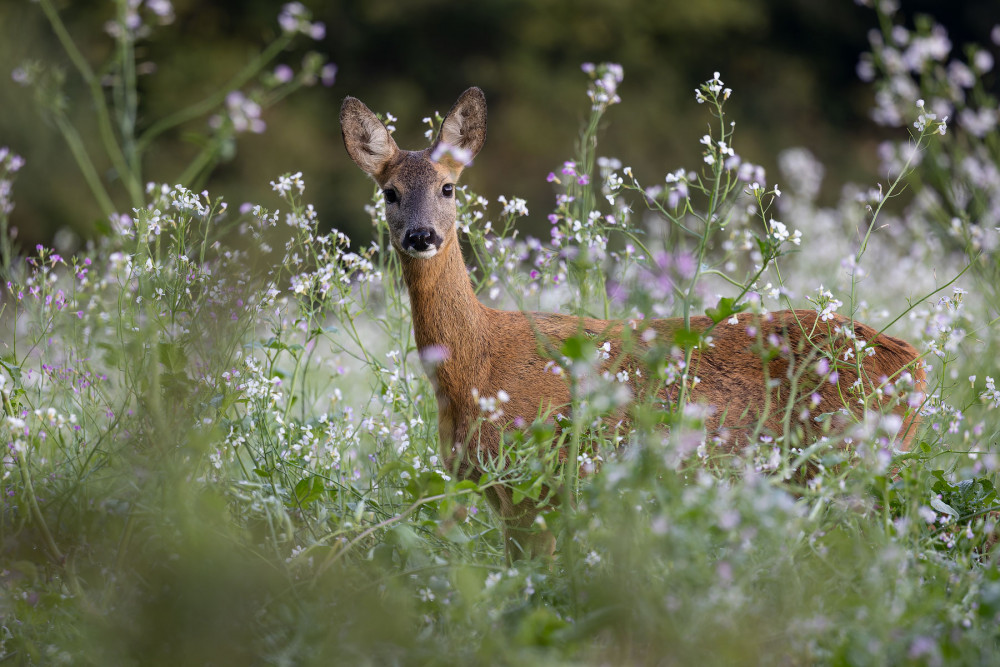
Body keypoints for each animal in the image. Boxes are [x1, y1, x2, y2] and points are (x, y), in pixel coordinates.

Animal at [340, 86, 924, 560]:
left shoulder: (539, 482)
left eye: (448, 188)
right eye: (389, 192)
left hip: (849, 461)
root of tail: (914, 364)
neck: (474, 369)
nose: (421, 236)